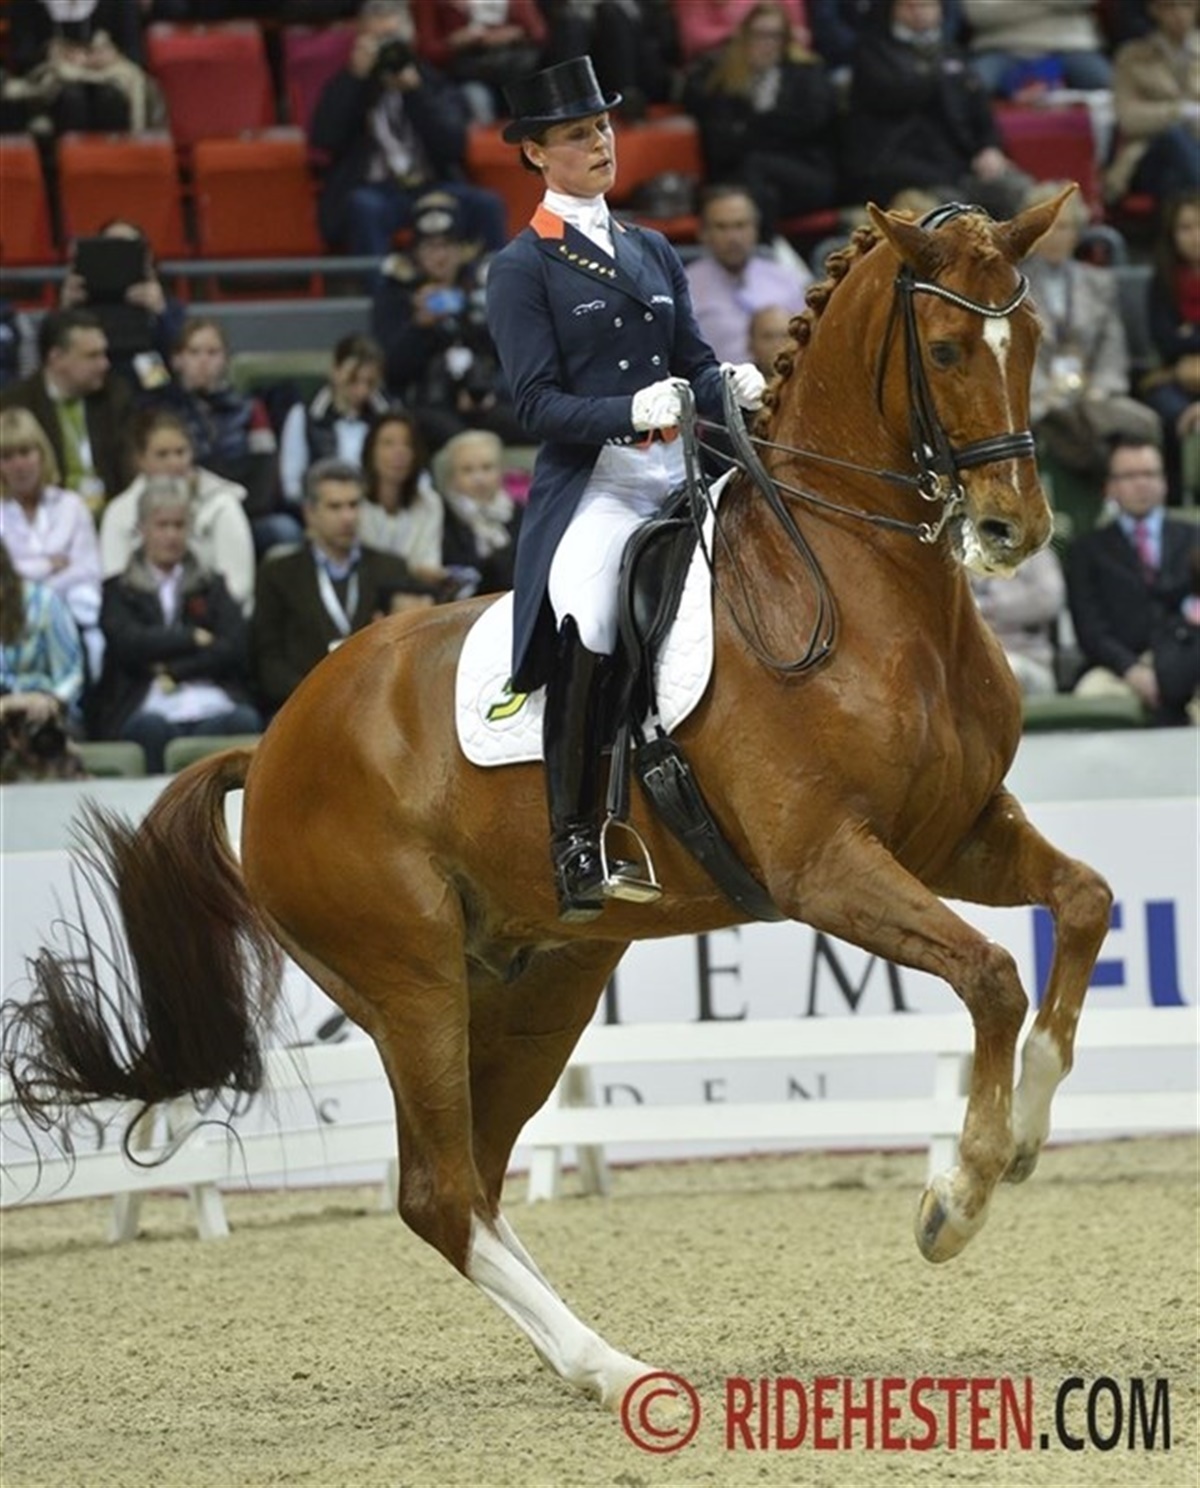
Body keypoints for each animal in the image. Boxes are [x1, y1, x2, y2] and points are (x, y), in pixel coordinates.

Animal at [3, 188, 1112, 1412]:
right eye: (950, 348)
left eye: (1035, 343)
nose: (1014, 530)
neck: (856, 586)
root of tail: (275, 740)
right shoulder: (824, 867)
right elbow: (991, 972)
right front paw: (956, 1198)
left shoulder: (953, 835)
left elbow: (1085, 903)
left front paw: (1029, 1126)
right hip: (412, 985)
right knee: (438, 1191)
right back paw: (612, 1367)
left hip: (542, 982)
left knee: (477, 1181)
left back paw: (584, 1357)